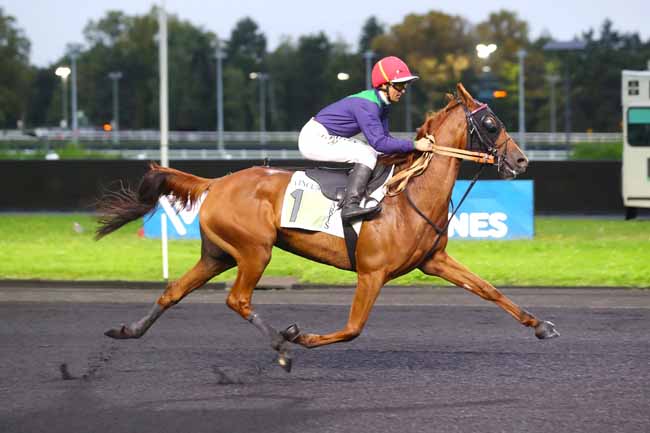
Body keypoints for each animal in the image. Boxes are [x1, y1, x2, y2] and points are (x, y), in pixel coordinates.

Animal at [95, 83, 556, 372]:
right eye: (492, 123)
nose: (521, 161)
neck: (408, 195)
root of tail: (215, 183)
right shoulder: (372, 272)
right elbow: (352, 329)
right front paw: (299, 337)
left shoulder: (434, 260)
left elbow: (488, 289)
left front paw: (540, 325)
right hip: (254, 251)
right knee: (237, 300)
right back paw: (281, 345)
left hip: (219, 254)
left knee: (174, 291)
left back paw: (128, 330)